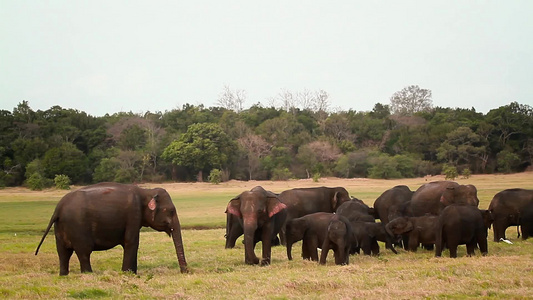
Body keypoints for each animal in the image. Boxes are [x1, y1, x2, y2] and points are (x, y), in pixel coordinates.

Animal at [34, 182, 187, 276]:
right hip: (78, 227)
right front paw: (127, 273)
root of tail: (58, 209)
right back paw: (89, 274)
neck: (145, 191)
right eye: (171, 211)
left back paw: (64, 275)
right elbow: (132, 242)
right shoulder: (133, 214)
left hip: (60, 229)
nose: (185, 272)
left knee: (63, 253)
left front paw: (133, 273)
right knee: (83, 252)